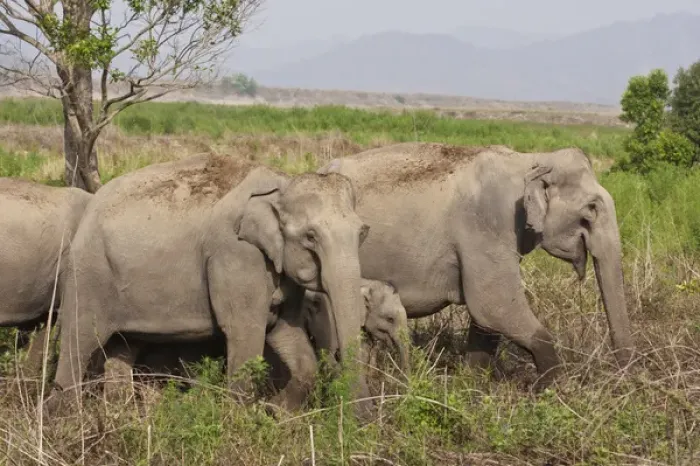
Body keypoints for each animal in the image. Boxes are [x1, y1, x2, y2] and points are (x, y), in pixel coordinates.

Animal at [44, 153, 370, 414]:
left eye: (362, 233)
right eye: (310, 237)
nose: (360, 418)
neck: (281, 183)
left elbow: (287, 334)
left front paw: (276, 413)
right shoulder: (236, 256)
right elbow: (245, 336)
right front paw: (241, 422)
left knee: (122, 347)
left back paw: (120, 416)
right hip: (88, 273)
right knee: (79, 342)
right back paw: (67, 419)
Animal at [317, 142, 634, 387]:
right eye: (591, 210)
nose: (622, 377)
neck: (528, 161)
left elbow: (486, 320)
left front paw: (472, 386)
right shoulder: (486, 227)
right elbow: (493, 307)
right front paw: (553, 391)